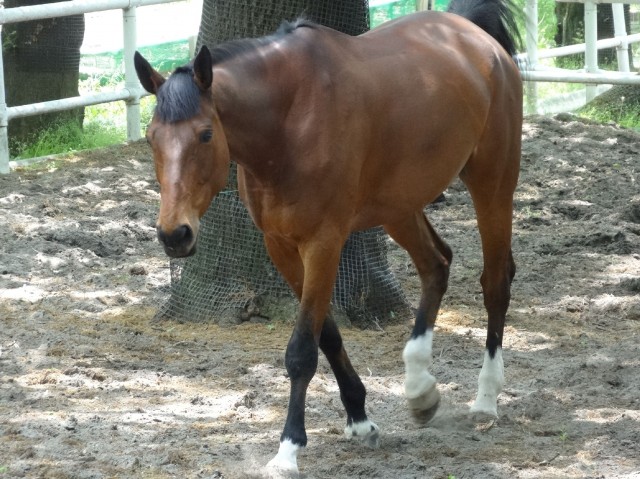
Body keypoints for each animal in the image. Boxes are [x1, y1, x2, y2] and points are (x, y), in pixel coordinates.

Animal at [134, 0, 522, 474]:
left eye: (205, 134)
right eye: (151, 138)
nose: (175, 234)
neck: (288, 122)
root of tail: (470, 33)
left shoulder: (323, 243)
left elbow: (302, 350)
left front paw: (288, 451)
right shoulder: (281, 245)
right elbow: (328, 335)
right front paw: (359, 418)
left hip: (492, 184)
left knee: (495, 282)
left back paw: (486, 398)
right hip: (398, 208)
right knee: (437, 264)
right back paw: (419, 388)